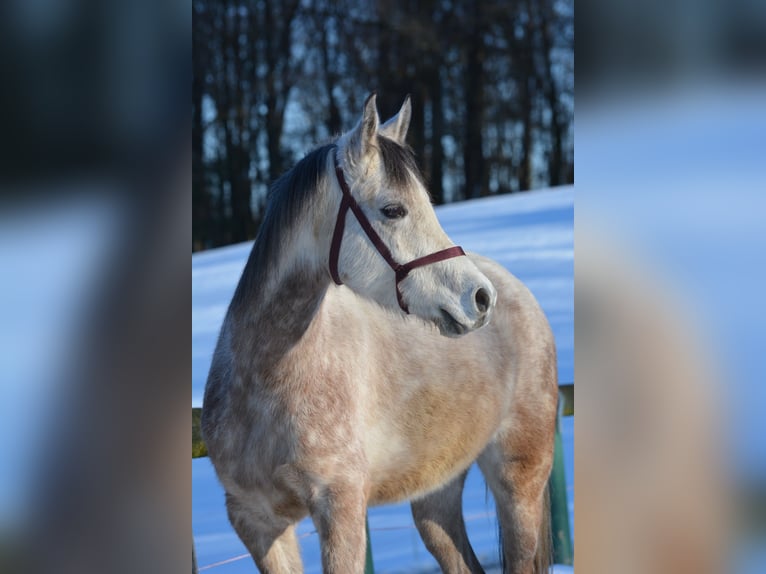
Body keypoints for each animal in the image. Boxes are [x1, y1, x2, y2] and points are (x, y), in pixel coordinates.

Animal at [201, 94, 558, 574]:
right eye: (393, 209)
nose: (480, 298)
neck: (265, 382)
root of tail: (519, 292)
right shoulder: (255, 521)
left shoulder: (342, 509)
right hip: (436, 495)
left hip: (521, 479)